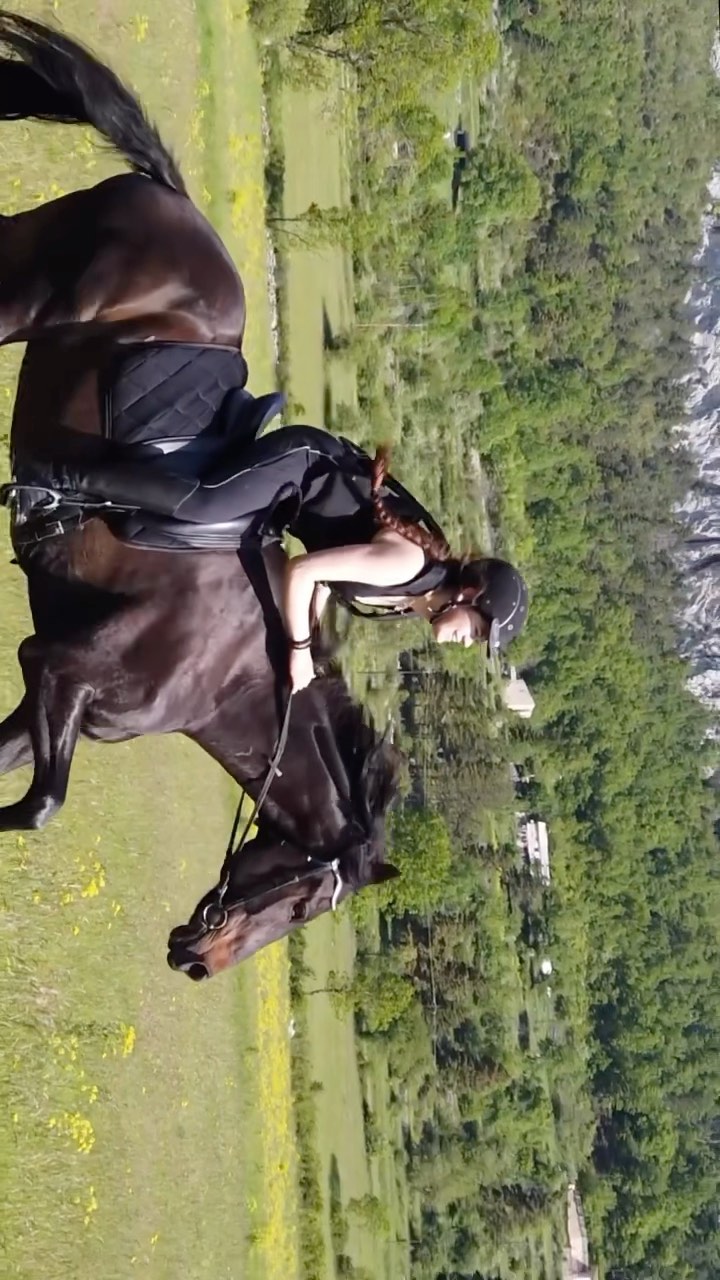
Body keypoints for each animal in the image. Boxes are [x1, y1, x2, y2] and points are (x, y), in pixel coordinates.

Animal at [0, 12, 401, 977]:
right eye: (303, 902)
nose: (195, 961)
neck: (224, 679)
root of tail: (173, 197)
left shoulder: (45, 704)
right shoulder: (57, 672)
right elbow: (40, 807)